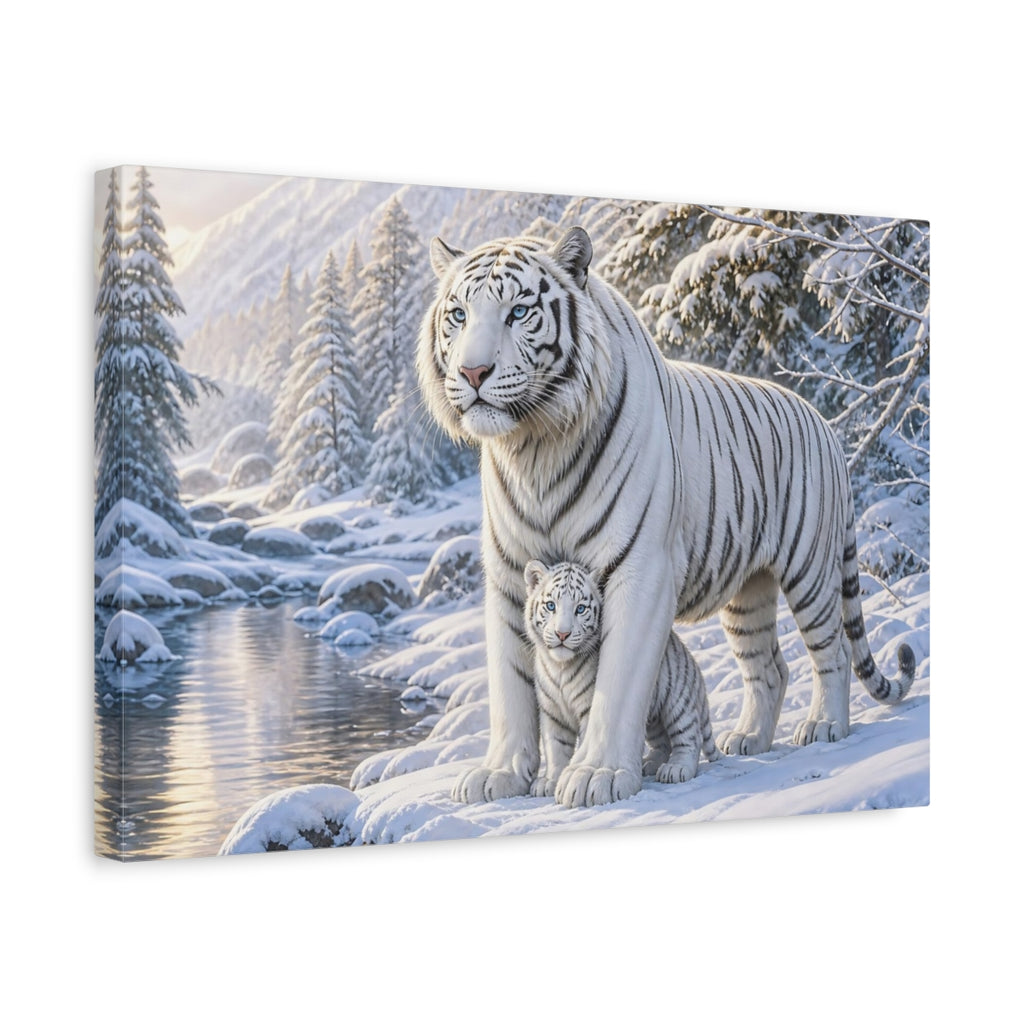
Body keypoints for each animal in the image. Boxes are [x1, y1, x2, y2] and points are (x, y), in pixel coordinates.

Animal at [523, 559, 718, 796]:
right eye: (551, 606)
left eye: (580, 609)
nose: (562, 634)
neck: (560, 666)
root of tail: (692, 662)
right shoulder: (552, 713)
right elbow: (555, 748)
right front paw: (550, 781)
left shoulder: (588, 708)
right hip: (652, 718)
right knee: (662, 741)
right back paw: (649, 764)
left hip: (678, 703)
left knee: (689, 738)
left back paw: (676, 769)